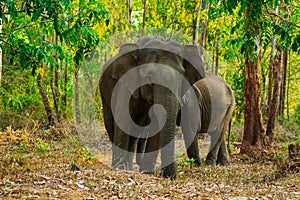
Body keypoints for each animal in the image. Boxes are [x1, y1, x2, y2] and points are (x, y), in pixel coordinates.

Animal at [99, 37, 205, 178]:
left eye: (181, 76)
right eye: (149, 77)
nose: (170, 176)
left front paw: (147, 172)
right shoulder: (125, 83)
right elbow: (123, 121)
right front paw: (119, 169)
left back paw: (129, 168)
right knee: (111, 124)